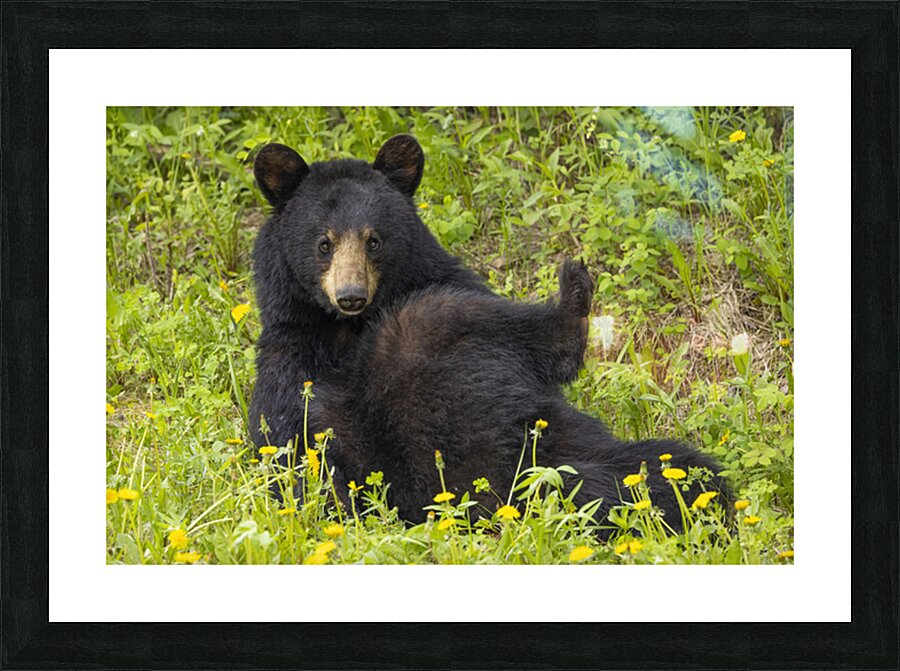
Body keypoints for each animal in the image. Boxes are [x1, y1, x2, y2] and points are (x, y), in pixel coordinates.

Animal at [249, 134, 726, 535]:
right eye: (323, 243)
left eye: (374, 241)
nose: (351, 295)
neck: (349, 328)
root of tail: (494, 490)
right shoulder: (287, 369)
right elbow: (288, 458)